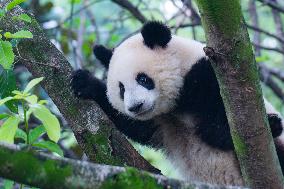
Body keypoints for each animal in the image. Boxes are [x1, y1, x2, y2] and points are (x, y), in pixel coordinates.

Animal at [71, 21, 284, 186]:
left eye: (143, 79)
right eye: (121, 89)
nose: (135, 107)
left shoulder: (210, 77)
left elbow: (216, 130)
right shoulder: (161, 121)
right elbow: (136, 127)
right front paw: (84, 83)